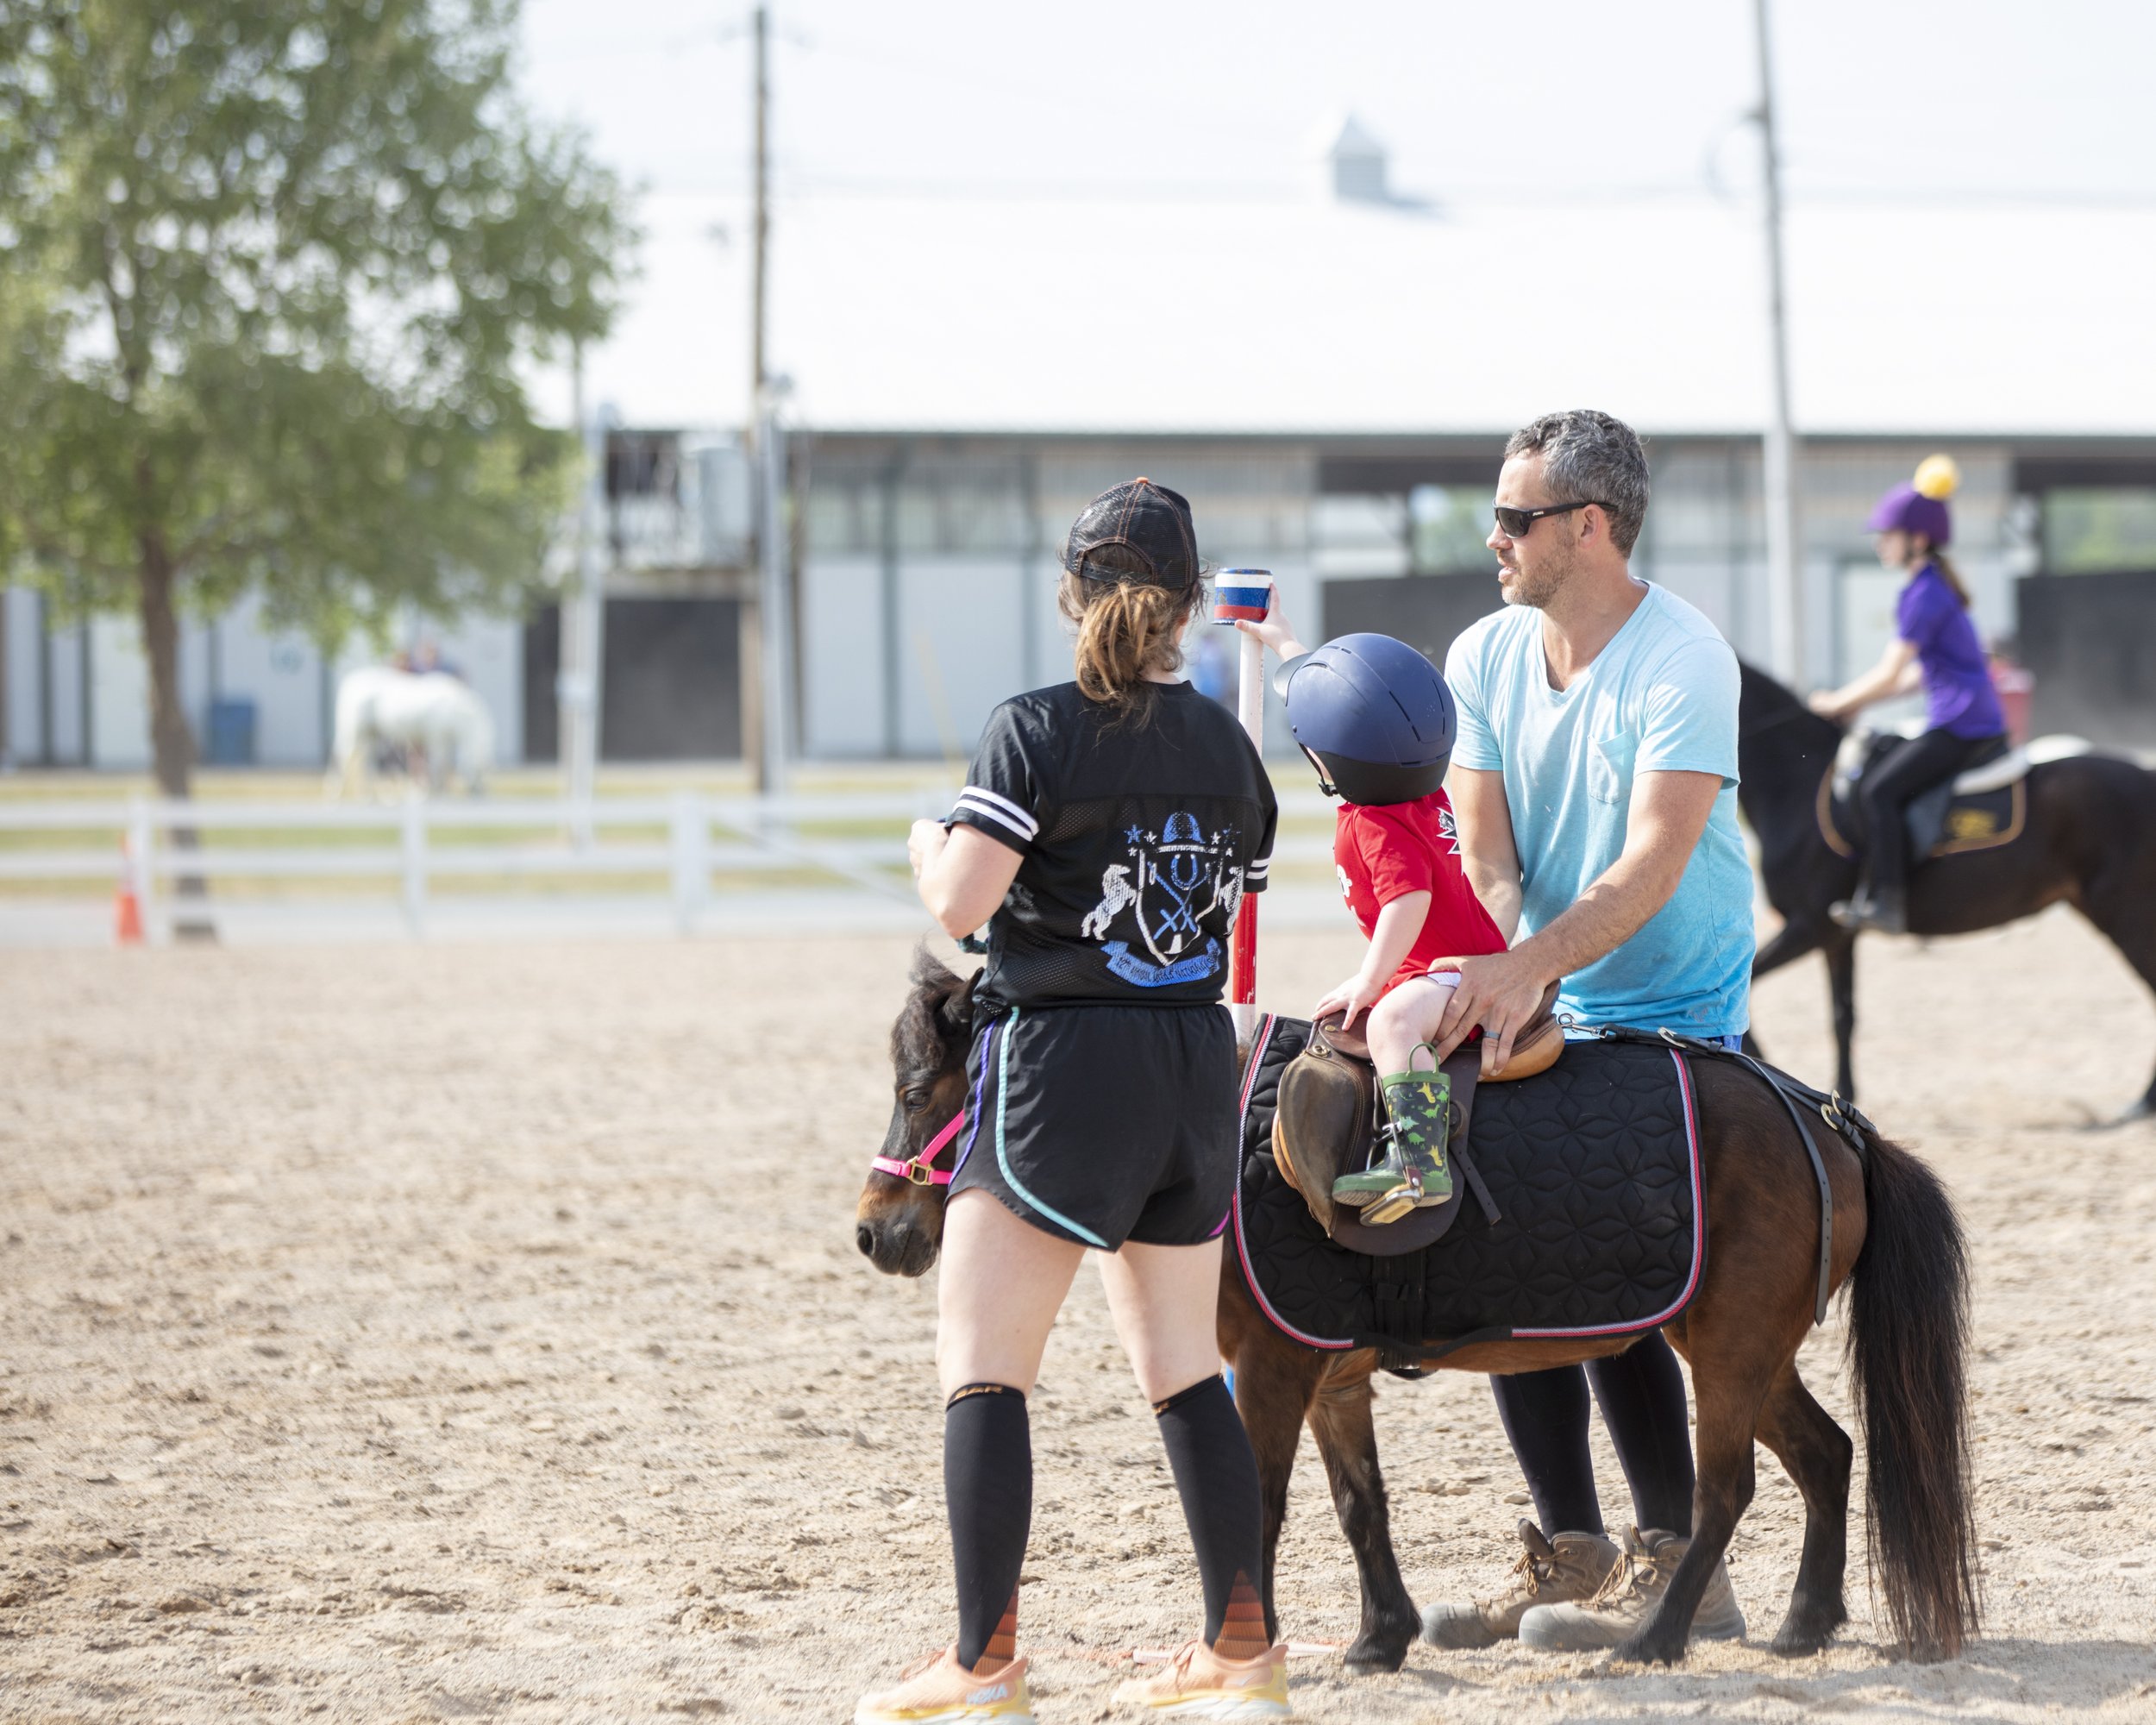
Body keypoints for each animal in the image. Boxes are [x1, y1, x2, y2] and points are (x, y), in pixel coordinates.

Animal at [326, 666, 495, 800]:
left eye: (484, 771)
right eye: (476, 770)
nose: (480, 794)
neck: (454, 710)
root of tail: (352, 681)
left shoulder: (444, 741)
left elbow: (443, 766)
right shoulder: (436, 739)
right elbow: (438, 766)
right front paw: (437, 793)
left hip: (371, 734)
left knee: (369, 763)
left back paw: (371, 796)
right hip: (353, 732)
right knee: (342, 756)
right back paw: (336, 792)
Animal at [854, 950, 1978, 1672]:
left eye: (915, 1088)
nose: (874, 1230)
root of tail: (1824, 1117)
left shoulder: (1268, 1370)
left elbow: (1256, 1501)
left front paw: (1246, 1648)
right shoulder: (1328, 1376)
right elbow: (1361, 1505)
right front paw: (1376, 1636)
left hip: (1733, 1350)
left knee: (1725, 1490)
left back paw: (1657, 1637)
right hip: (1745, 1348)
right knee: (1827, 1455)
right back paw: (1803, 1620)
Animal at [1737, 661, 2156, 1117]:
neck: (1797, 786)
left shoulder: (1810, 925)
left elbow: (1752, 992)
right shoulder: (1837, 936)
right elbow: (1843, 1016)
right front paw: (1844, 1094)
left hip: (2127, 915)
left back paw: (2144, 1102)